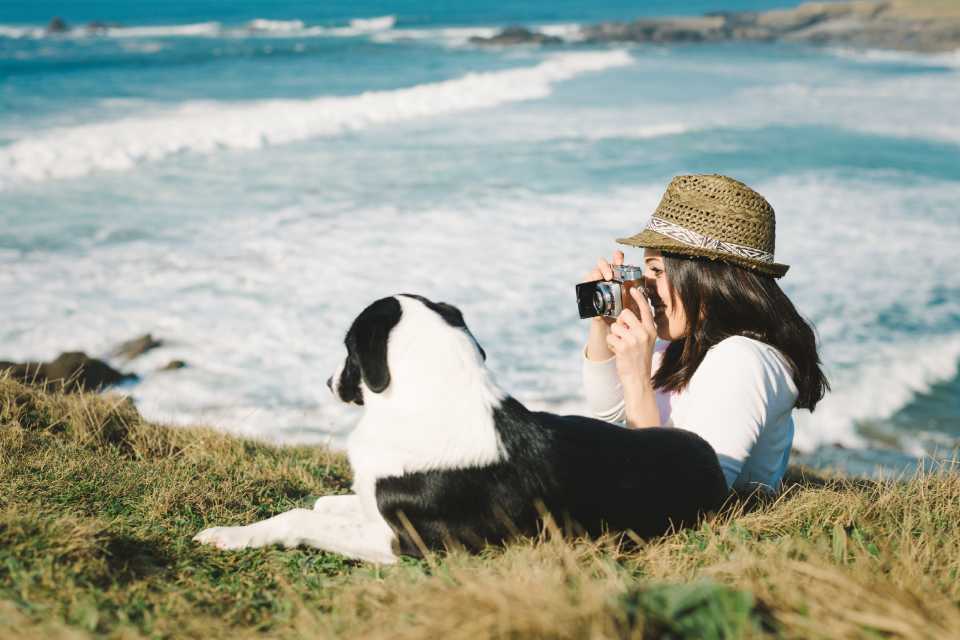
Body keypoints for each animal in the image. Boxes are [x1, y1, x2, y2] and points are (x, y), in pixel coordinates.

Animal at [195, 292, 728, 564]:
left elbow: (301, 519)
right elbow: (327, 505)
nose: (328, 382)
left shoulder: (408, 544)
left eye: (347, 347)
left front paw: (228, 535)